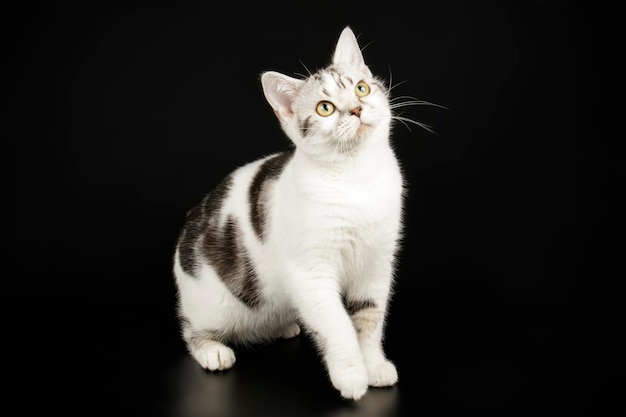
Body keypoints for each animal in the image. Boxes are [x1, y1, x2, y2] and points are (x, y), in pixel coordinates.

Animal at [172, 26, 410, 400]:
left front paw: (373, 365)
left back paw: (284, 326)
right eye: (325, 108)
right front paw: (351, 374)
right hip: (209, 303)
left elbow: (369, 317)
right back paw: (212, 350)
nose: (357, 109)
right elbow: (337, 323)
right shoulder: (310, 273)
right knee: (190, 329)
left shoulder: (376, 264)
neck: (356, 175)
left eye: (361, 88)